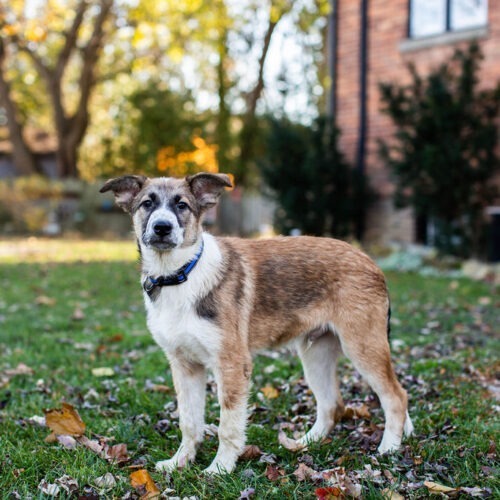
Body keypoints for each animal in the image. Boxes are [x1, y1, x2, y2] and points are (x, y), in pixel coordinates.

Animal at [100, 174, 414, 474]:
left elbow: (228, 425)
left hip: (363, 346)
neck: (180, 275)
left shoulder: (232, 364)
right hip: (316, 353)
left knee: (396, 396)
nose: (162, 228)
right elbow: (189, 422)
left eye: (182, 205)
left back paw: (389, 448)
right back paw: (305, 443)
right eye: (147, 204)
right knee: (332, 404)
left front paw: (221, 468)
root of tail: (370, 261)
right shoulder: (184, 365)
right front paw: (180, 462)